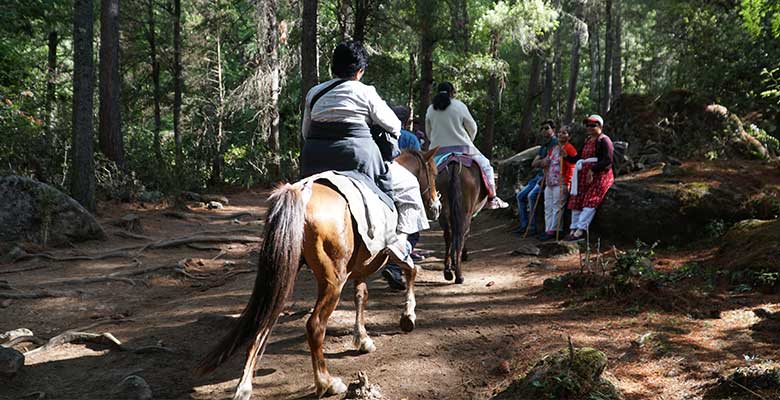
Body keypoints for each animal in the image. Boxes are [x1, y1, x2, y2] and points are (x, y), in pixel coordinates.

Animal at [195, 150, 438, 400]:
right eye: (434, 172)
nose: (436, 206)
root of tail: (301, 192)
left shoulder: (361, 266)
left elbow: (361, 295)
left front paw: (362, 339)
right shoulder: (395, 247)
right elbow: (411, 270)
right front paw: (408, 317)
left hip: (282, 275)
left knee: (264, 320)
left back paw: (244, 386)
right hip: (333, 281)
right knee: (315, 326)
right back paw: (326, 383)